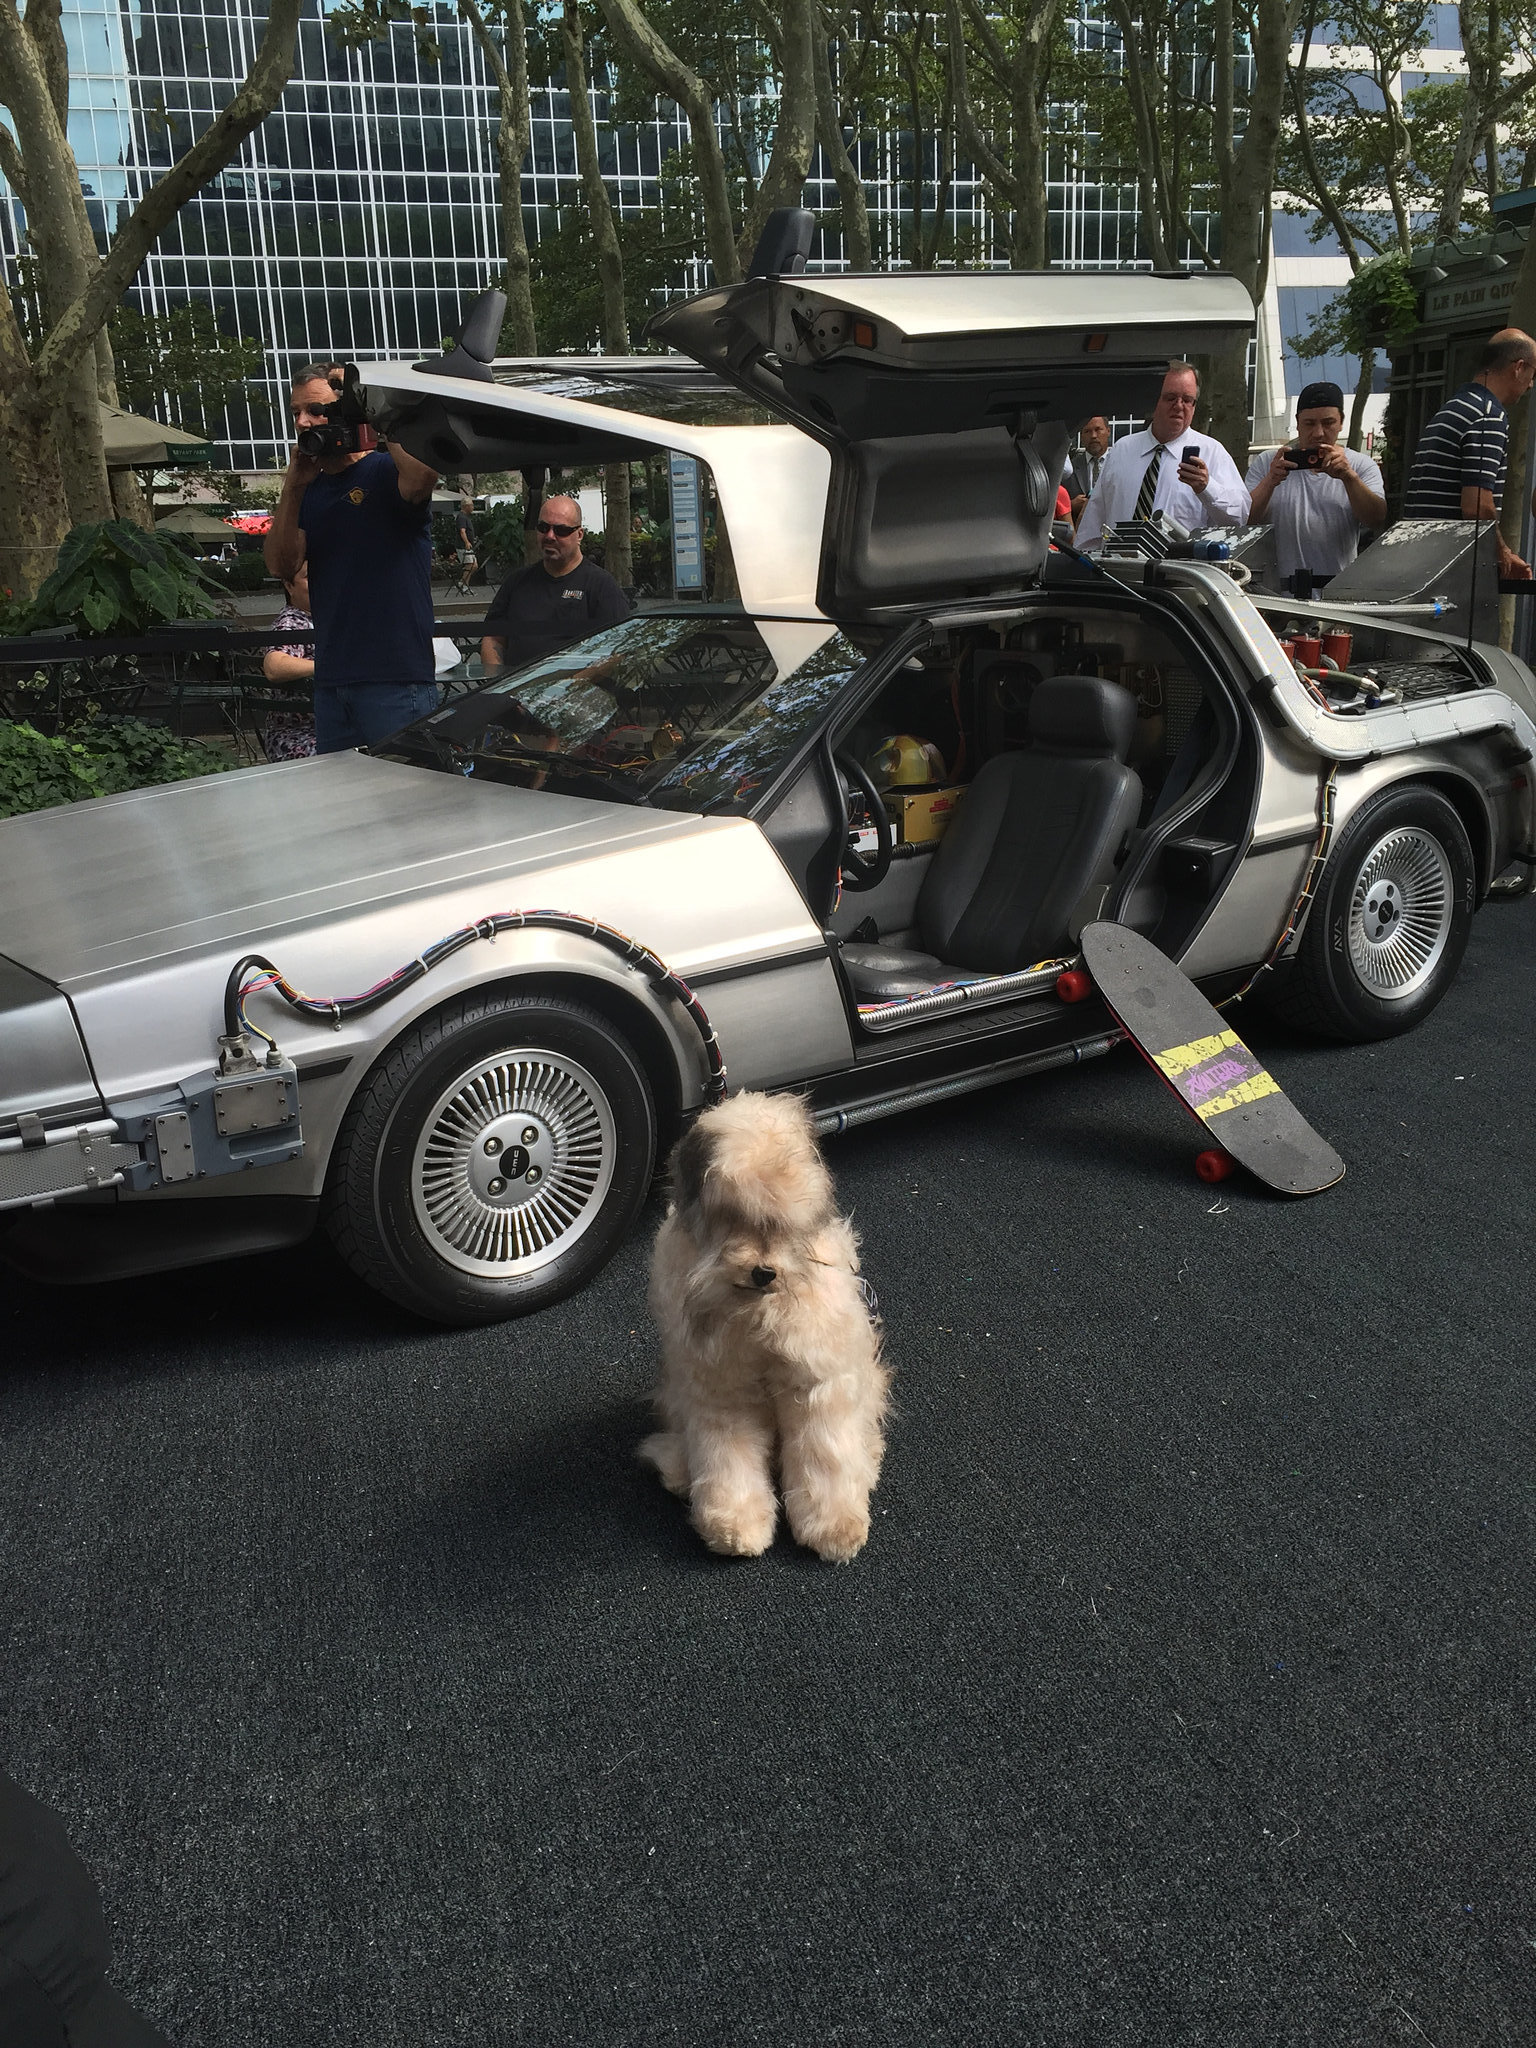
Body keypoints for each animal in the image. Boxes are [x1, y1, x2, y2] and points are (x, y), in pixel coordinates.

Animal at [638, 1097, 888, 1556]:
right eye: (733, 1214)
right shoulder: (723, 1393)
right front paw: (735, 1525)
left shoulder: (817, 1385)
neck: (757, 1313)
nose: (764, 1272)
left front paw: (834, 1529)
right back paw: (679, 1473)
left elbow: (824, 1456)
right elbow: (728, 1460)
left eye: (784, 1220)